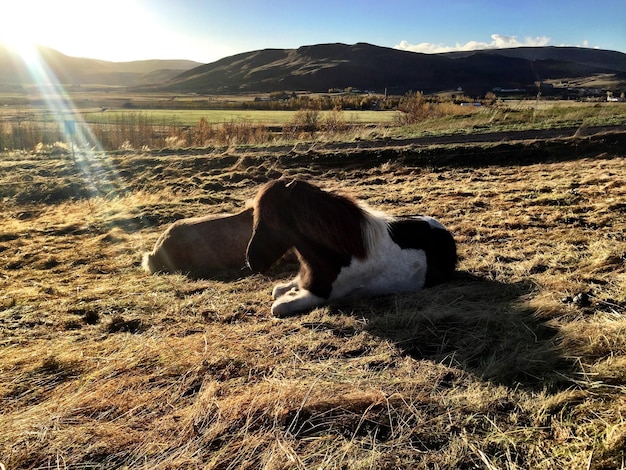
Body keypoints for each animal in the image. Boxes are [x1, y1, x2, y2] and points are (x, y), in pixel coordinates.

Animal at [246, 178, 456, 318]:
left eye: (270, 220)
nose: (251, 262)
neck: (341, 255)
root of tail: (444, 232)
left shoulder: (319, 296)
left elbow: (278, 306)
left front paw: (289, 295)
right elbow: (279, 290)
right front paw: (288, 290)